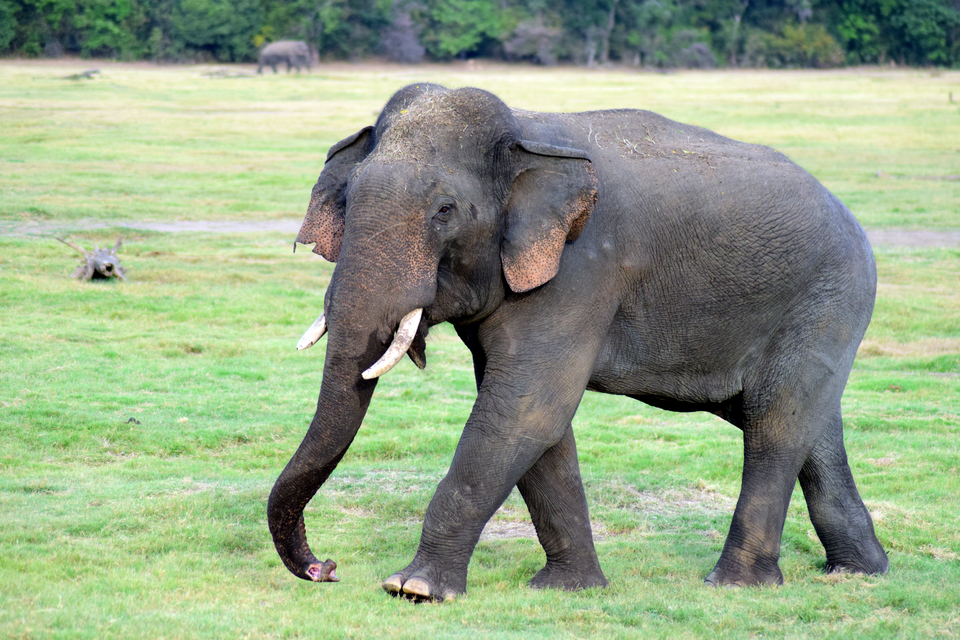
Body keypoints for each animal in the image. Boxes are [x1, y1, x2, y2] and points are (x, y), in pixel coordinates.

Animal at [266, 84, 888, 600]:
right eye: (347, 199)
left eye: (444, 211)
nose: (326, 568)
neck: (524, 132)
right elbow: (537, 421)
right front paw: (569, 589)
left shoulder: (581, 270)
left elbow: (524, 409)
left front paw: (413, 589)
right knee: (809, 425)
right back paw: (859, 572)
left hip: (829, 297)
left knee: (775, 423)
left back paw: (736, 585)